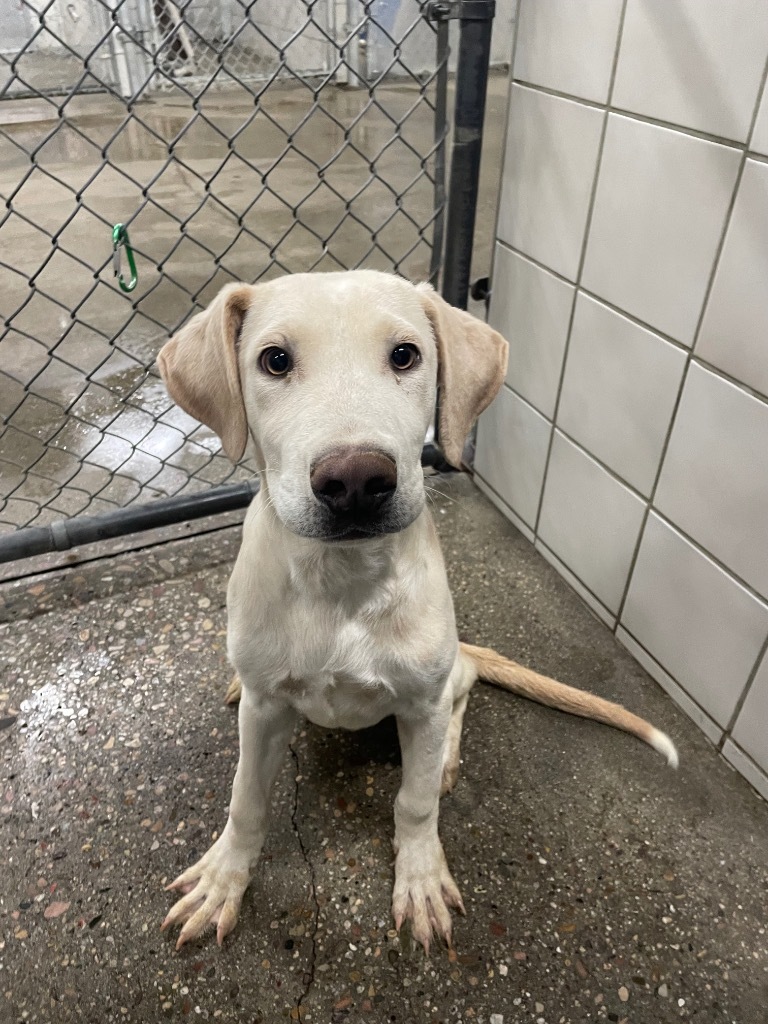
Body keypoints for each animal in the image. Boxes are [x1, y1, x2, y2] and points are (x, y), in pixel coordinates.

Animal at [157, 270, 679, 950]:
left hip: (445, 678)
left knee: (465, 686)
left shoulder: (421, 703)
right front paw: (224, 880)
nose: (356, 481)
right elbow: (246, 797)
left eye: (405, 355)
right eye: (274, 360)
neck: (345, 583)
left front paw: (421, 876)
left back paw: (450, 759)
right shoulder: (266, 708)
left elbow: (415, 801)